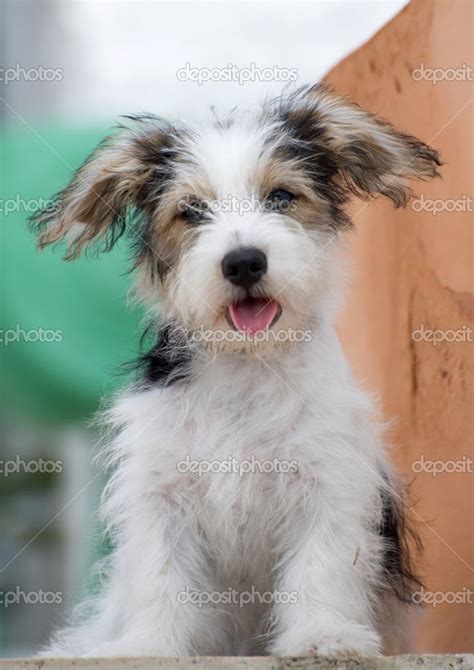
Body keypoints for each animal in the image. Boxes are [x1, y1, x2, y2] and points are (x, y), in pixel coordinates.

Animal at [32, 85, 440, 660]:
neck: (246, 366)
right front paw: (147, 646)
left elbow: (321, 566)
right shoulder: (161, 494)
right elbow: (160, 576)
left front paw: (323, 635)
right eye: (191, 210)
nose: (244, 261)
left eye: (282, 197)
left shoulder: (329, 483)